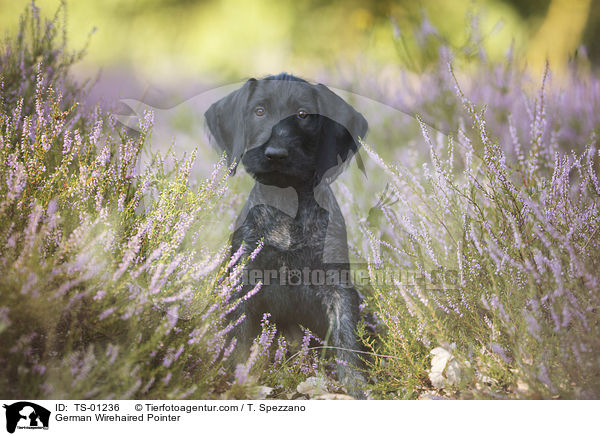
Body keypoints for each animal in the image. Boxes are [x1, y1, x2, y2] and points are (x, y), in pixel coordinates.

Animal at [205, 72, 366, 396]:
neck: (288, 206)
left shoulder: (337, 285)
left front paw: (357, 385)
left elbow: (347, 339)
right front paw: (241, 380)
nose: (276, 154)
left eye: (303, 114)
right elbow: (239, 344)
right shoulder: (244, 282)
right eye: (259, 111)